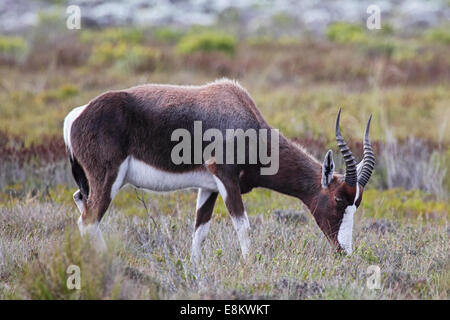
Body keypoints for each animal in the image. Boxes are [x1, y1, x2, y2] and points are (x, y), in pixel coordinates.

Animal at [62, 79, 372, 260]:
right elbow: (243, 226)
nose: (345, 252)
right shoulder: (226, 179)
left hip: (88, 182)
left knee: (81, 203)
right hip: (108, 180)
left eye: (357, 203)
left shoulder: (208, 187)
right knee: (88, 219)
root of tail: (76, 116)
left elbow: (200, 231)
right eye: (338, 199)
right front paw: (250, 267)